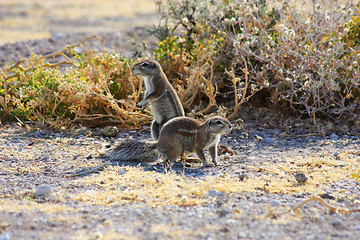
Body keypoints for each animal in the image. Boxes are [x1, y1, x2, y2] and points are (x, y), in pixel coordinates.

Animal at [104, 116, 232, 167]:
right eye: (218, 122)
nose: (231, 126)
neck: (211, 133)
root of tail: (158, 143)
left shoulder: (212, 145)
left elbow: (213, 154)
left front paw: (216, 162)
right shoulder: (199, 143)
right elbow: (201, 154)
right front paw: (206, 163)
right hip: (176, 148)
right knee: (166, 158)